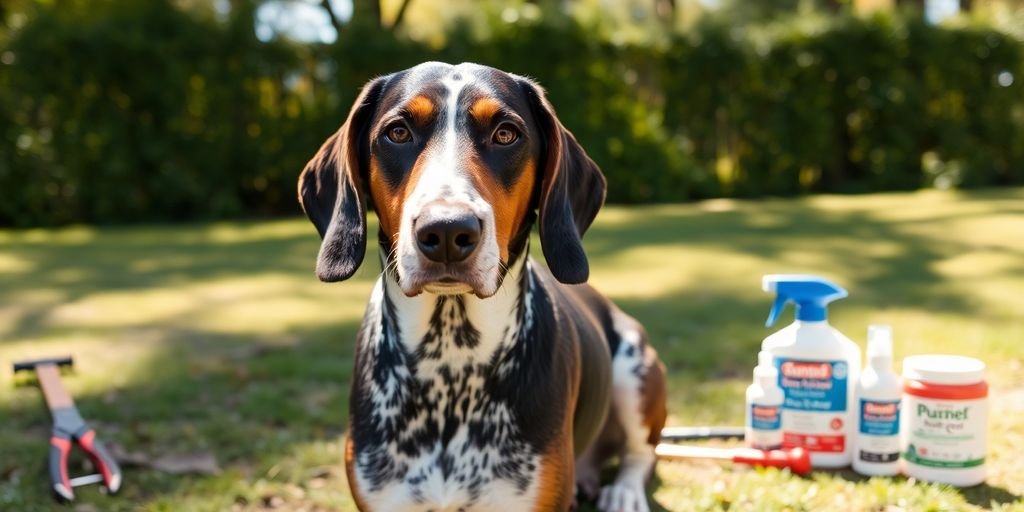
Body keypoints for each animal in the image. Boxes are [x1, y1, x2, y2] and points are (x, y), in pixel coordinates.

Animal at [299, 61, 667, 509]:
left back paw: (624, 491)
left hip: (635, 370)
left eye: (506, 134)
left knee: (642, 454)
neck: (451, 366)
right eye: (398, 132)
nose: (446, 229)